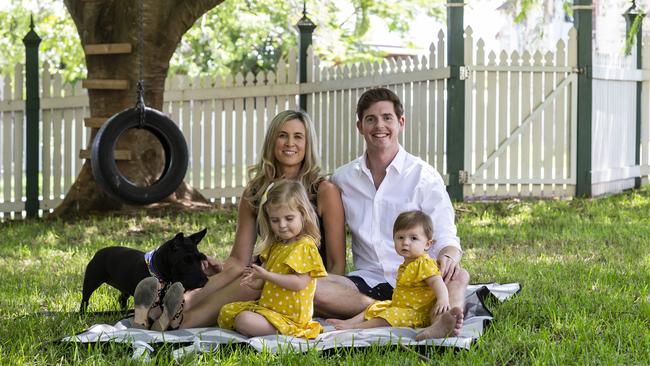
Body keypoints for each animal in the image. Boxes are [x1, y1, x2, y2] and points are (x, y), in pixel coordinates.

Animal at [79, 229, 208, 312]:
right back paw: (82, 313)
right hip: (91, 281)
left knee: (122, 299)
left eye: (201, 259)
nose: (205, 281)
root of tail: (97, 252)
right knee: (85, 298)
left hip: (125, 287)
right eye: (185, 261)